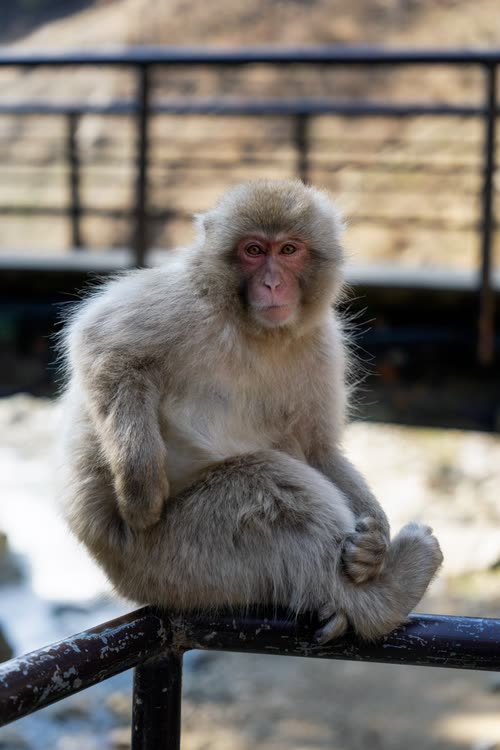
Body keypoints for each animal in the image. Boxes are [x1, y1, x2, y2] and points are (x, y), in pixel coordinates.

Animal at [59, 179, 442, 643]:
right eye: (254, 251)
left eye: (289, 250)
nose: (273, 284)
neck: (255, 330)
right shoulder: (184, 302)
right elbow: (101, 344)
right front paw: (140, 487)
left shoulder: (320, 344)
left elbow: (318, 448)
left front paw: (375, 544)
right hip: (171, 561)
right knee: (268, 486)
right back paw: (388, 596)